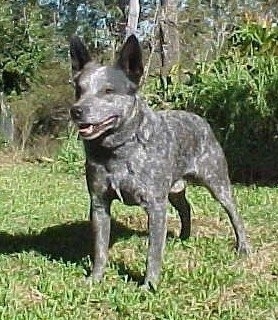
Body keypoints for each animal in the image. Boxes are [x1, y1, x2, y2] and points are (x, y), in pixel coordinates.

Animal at [70, 34, 252, 288]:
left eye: (108, 90)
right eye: (79, 89)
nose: (76, 110)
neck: (118, 150)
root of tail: (200, 120)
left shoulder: (155, 205)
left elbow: (153, 253)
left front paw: (149, 285)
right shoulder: (98, 204)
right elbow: (100, 249)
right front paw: (95, 279)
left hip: (217, 182)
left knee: (234, 213)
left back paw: (243, 247)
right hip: (174, 190)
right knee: (186, 207)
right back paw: (184, 237)